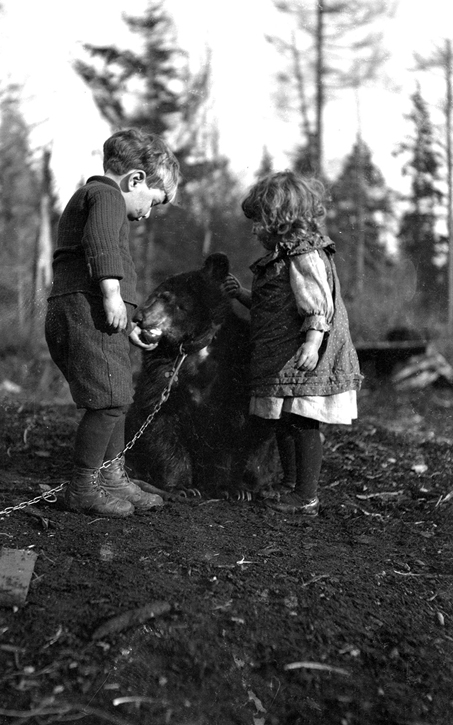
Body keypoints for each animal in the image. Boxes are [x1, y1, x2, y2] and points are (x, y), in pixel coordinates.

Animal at [125, 252, 278, 494]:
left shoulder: (236, 366)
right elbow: (160, 418)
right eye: (156, 294)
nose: (138, 316)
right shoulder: (162, 370)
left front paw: (229, 488)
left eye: (165, 296)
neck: (194, 345)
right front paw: (182, 486)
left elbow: (232, 429)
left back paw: (262, 485)